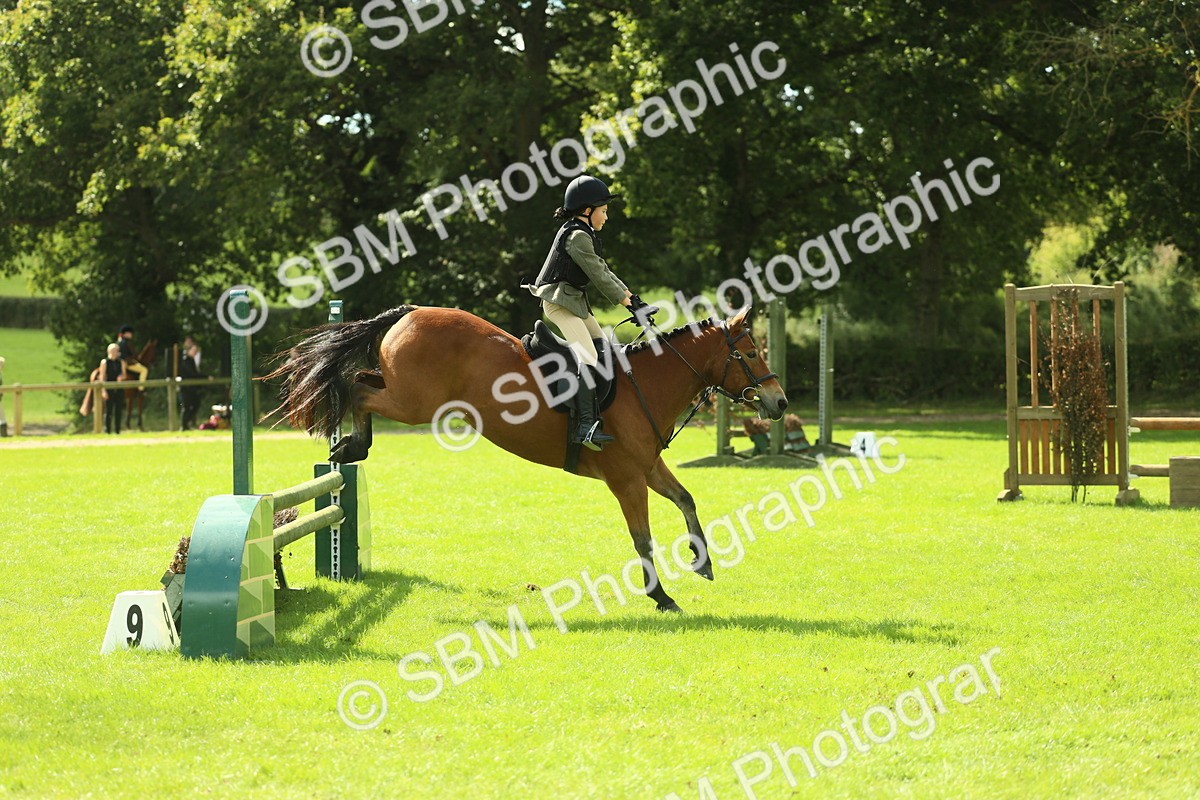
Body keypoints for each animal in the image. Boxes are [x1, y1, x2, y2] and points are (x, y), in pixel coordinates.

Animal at [266, 305, 787, 613]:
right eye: (751, 353)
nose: (780, 404)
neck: (646, 383)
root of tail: (412, 312)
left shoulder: (647, 468)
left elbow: (686, 498)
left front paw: (703, 562)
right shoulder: (626, 479)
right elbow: (642, 538)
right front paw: (661, 597)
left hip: (403, 391)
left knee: (361, 380)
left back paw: (350, 443)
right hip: (414, 403)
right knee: (356, 389)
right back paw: (352, 445)